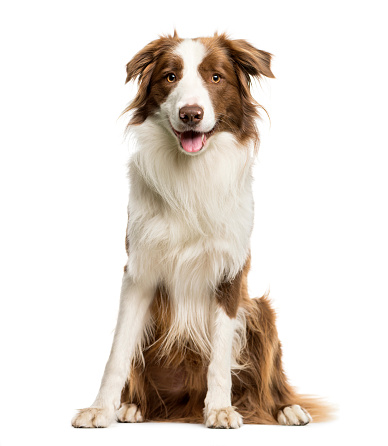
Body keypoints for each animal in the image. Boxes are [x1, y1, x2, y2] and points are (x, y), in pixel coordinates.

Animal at [70, 31, 328, 428]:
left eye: (216, 78)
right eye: (170, 77)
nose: (190, 114)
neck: (190, 174)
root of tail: (184, 402)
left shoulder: (230, 274)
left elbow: (219, 356)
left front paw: (220, 408)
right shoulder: (138, 272)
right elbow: (118, 353)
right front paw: (101, 408)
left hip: (260, 311)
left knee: (271, 378)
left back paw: (286, 408)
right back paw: (133, 406)